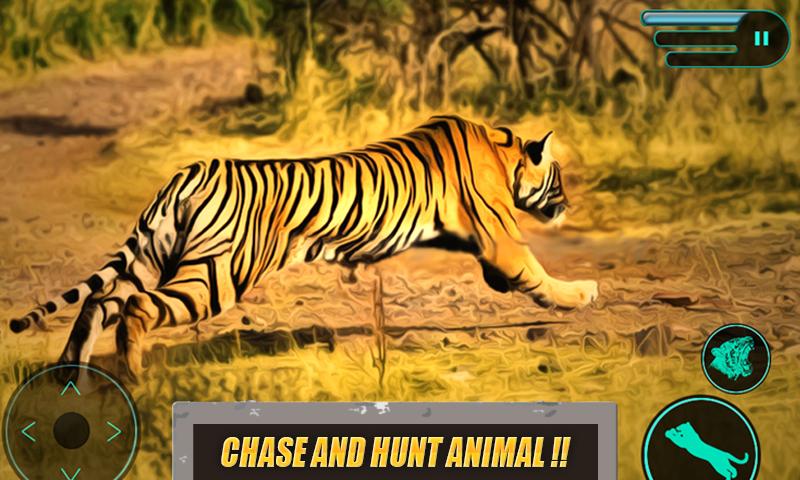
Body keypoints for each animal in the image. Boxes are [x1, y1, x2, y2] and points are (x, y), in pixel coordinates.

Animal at [8, 115, 598, 380]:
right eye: (560, 177)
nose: (569, 203)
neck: (503, 151)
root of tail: (190, 170)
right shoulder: (500, 239)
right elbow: (538, 274)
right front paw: (584, 294)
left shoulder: (484, 245)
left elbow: (511, 277)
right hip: (215, 274)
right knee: (134, 307)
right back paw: (133, 376)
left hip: (156, 255)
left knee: (97, 301)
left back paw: (70, 375)